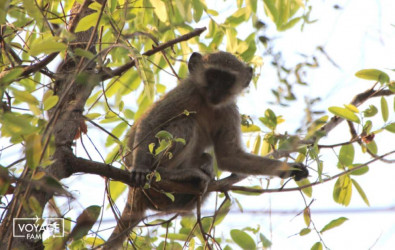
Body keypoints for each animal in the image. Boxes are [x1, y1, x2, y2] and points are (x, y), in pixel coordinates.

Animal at [105, 50, 310, 248]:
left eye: (227, 80)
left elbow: (230, 157)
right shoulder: (186, 92)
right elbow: (151, 123)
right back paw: (166, 173)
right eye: (213, 75)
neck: (206, 102)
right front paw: (140, 168)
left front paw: (289, 169)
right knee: (185, 123)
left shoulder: (228, 110)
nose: (217, 90)